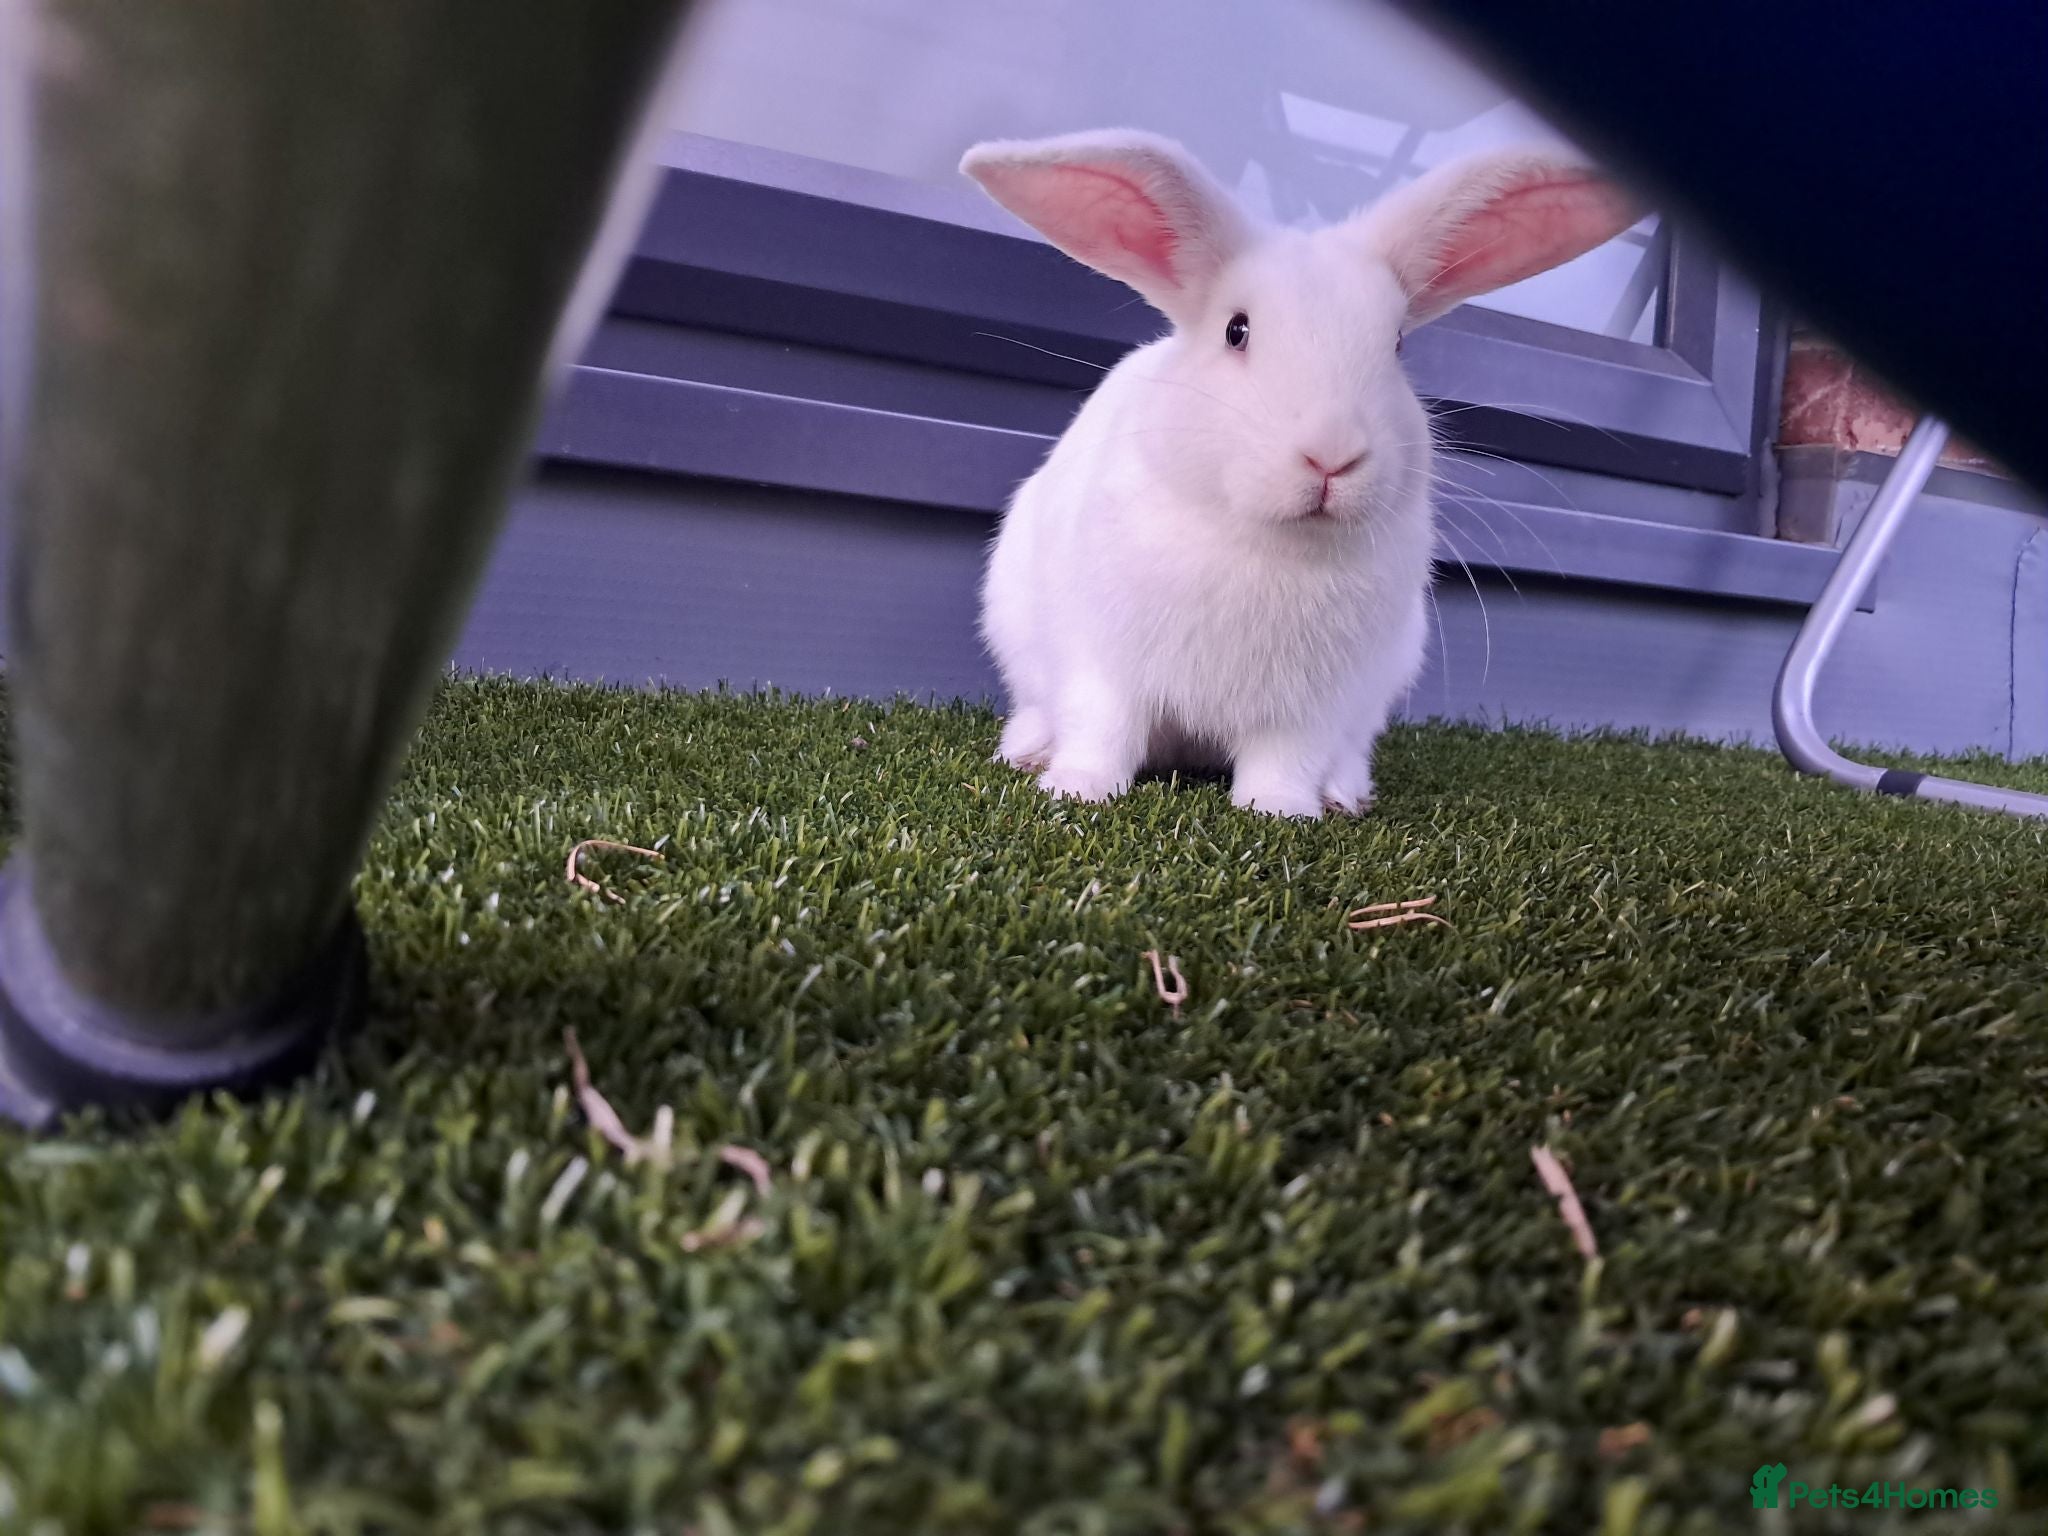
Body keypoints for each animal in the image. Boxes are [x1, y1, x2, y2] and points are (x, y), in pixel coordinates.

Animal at [958, 129, 1637, 817]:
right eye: (1236, 331)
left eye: (1397, 345)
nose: (1332, 455)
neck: (1268, 545)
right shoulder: (1101, 661)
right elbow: (1103, 730)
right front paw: (1076, 792)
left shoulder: (1310, 706)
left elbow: (1285, 759)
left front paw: (1279, 811)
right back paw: (1028, 752)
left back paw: (1343, 793)